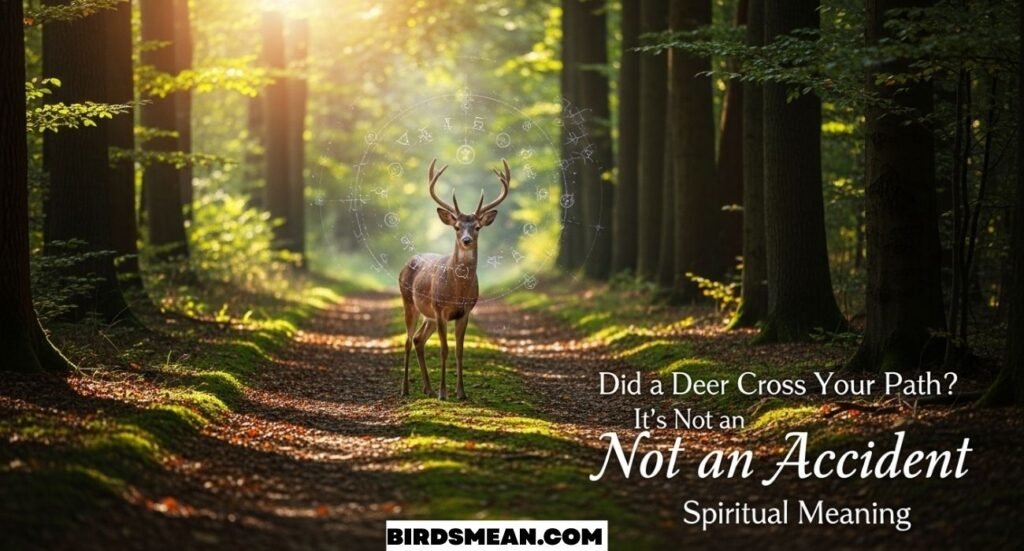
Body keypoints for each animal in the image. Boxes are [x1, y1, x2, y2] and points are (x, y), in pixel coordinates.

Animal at [399, 158, 511, 400]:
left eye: (477, 227)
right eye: (457, 227)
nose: (467, 240)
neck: (458, 289)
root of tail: (405, 264)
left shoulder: (465, 311)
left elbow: (459, 350)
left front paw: (460, 393)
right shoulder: (441, 309)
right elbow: (444, 349)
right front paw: (444, 393)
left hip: (429, 315)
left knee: (418, 339)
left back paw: (428, 389)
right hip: (409, 303)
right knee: (408, 341)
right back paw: (405, 389)